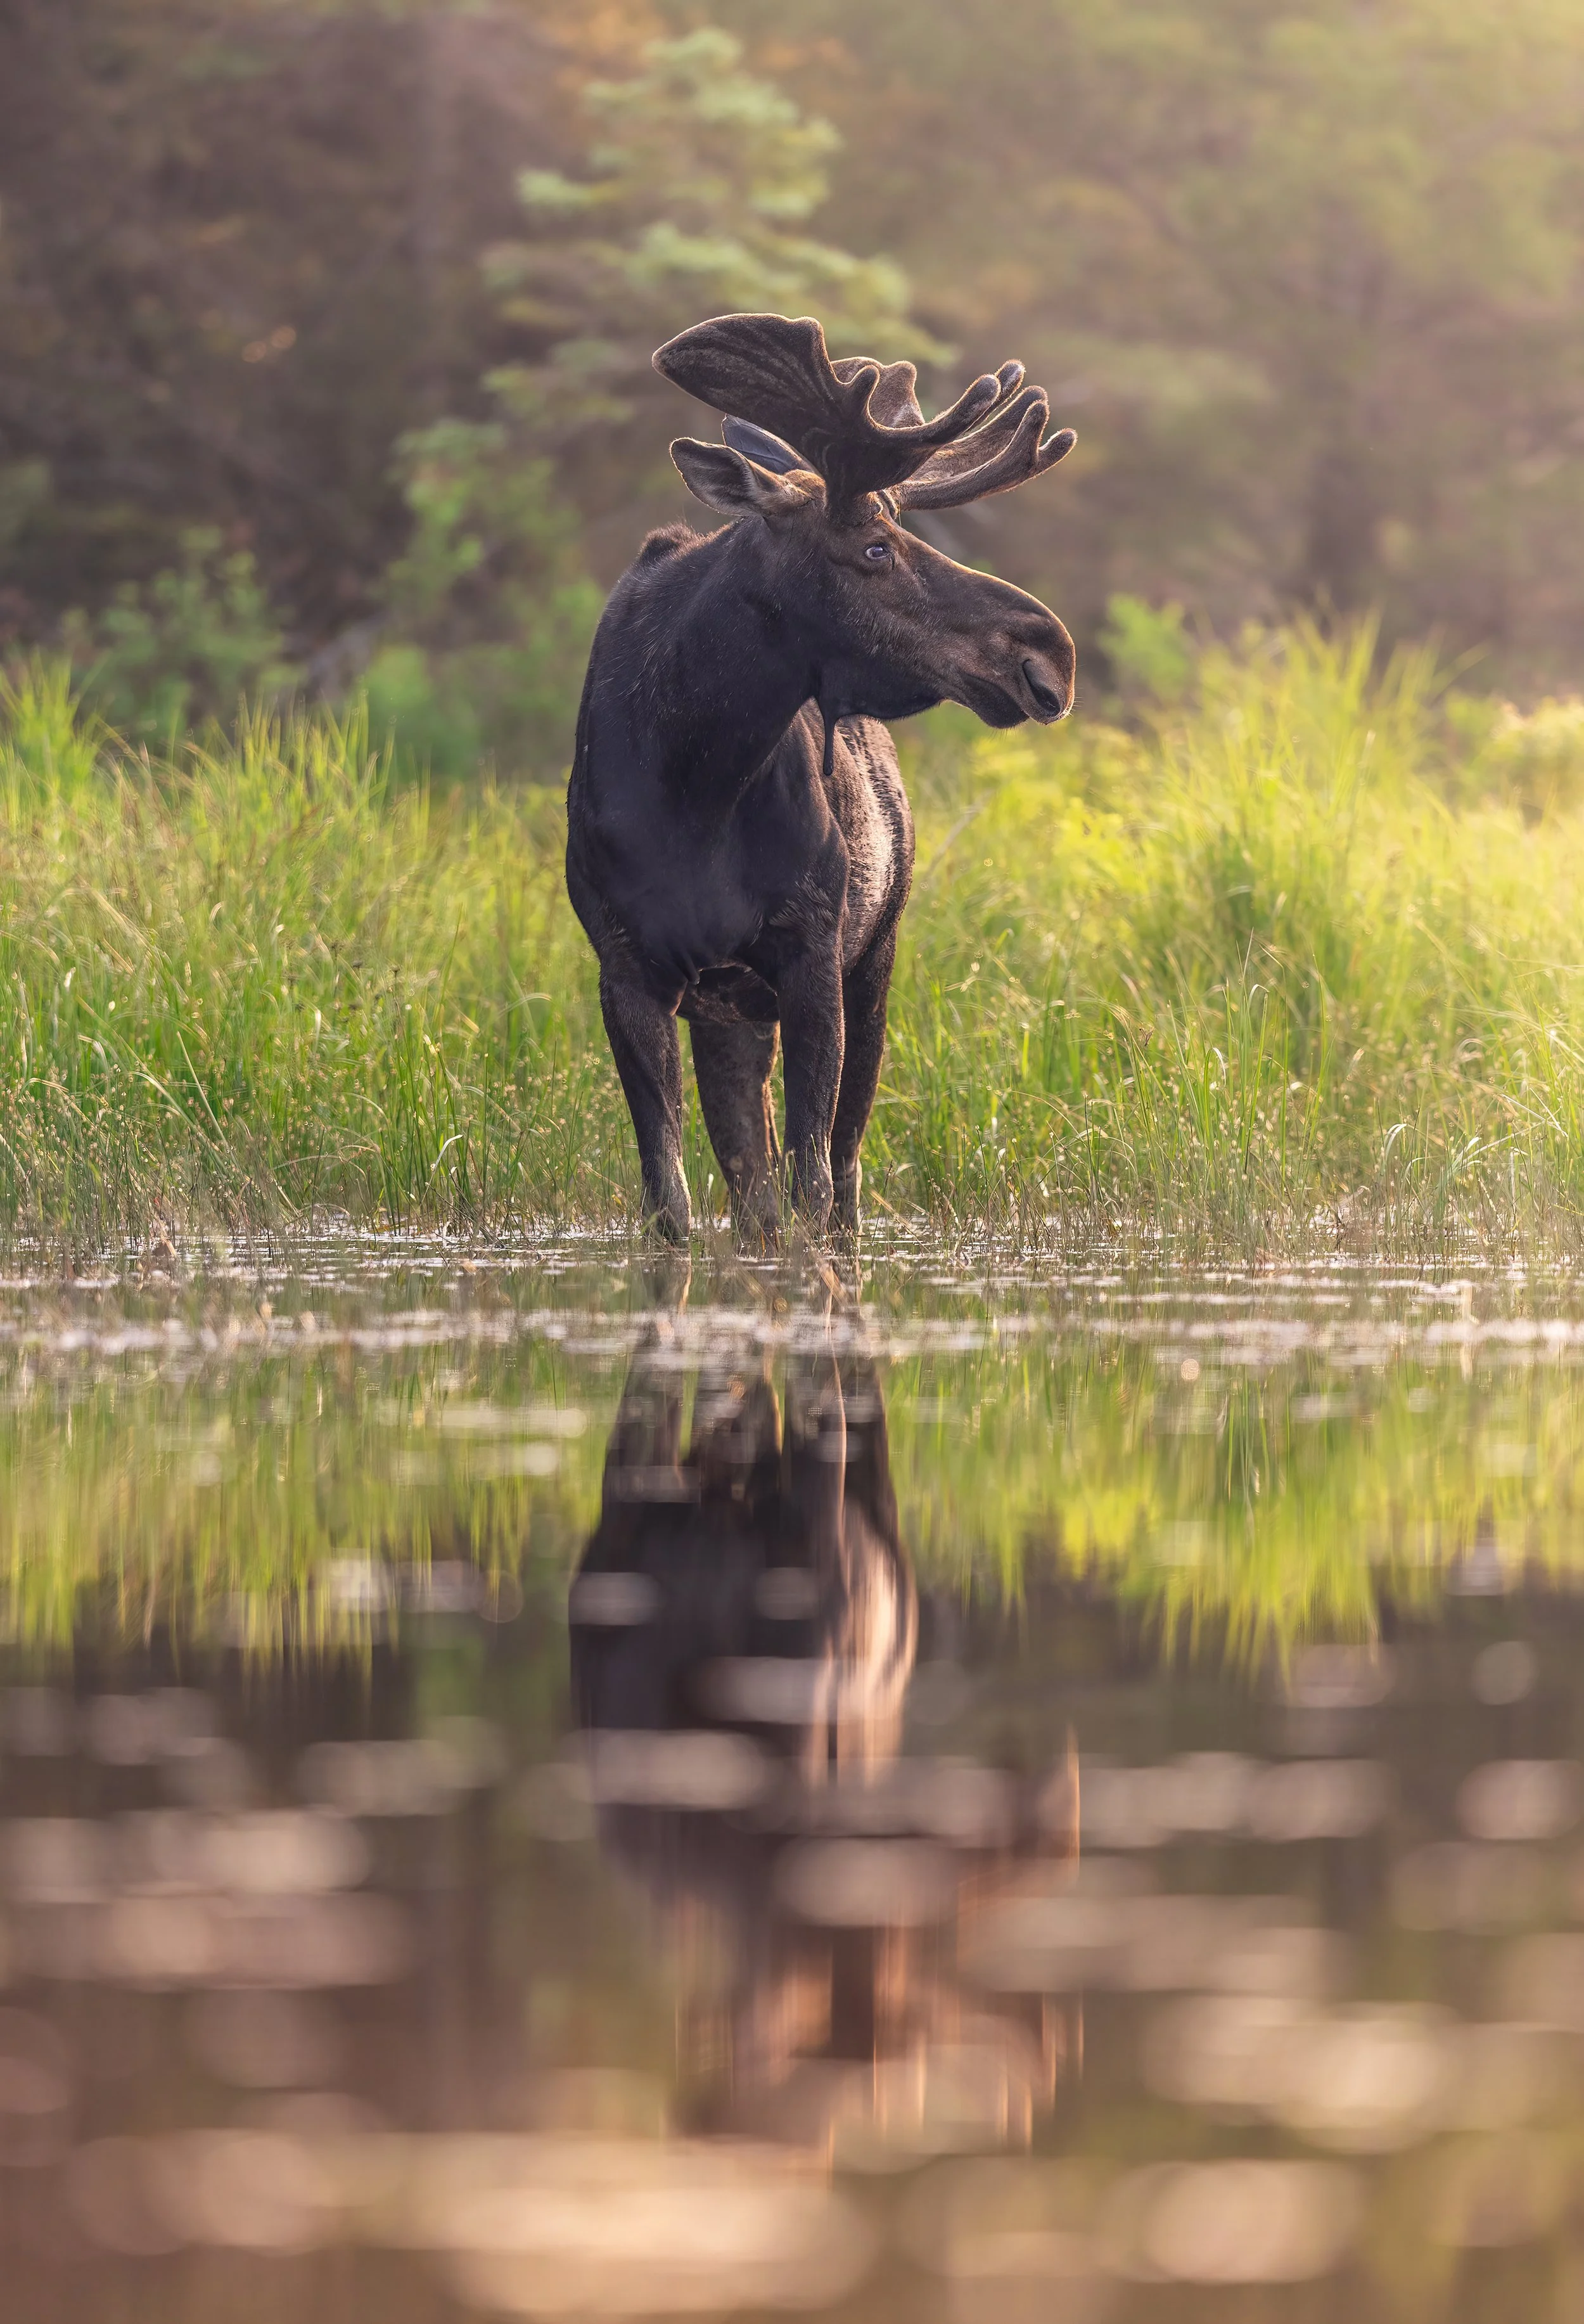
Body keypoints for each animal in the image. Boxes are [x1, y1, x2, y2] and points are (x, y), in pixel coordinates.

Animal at [565, 311, 1076, 1242]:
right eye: (874, 544)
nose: (1049, 649)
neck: (694, 776)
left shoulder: (811, 950)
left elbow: (810, 1189)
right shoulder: (624, 967)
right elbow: (674, 1204)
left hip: (875, 956)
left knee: (841, 1176)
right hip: (733, 1012)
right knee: (756, 1186)